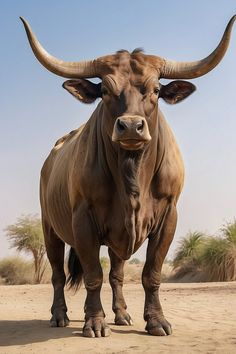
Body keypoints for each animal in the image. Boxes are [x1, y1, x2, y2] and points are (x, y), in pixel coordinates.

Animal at [21, 16, 235, 338]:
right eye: (105, 91)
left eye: (156, 90)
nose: (132, 126)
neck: (132, 175)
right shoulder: (83, 220)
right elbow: (93, 275)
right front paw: (94, 323)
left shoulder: (168, 216)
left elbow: (151, 274)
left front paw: (156, 321)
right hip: (50, 229)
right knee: (58, 274)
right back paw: (59, 316)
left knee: (117, 274)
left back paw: (121, 315)